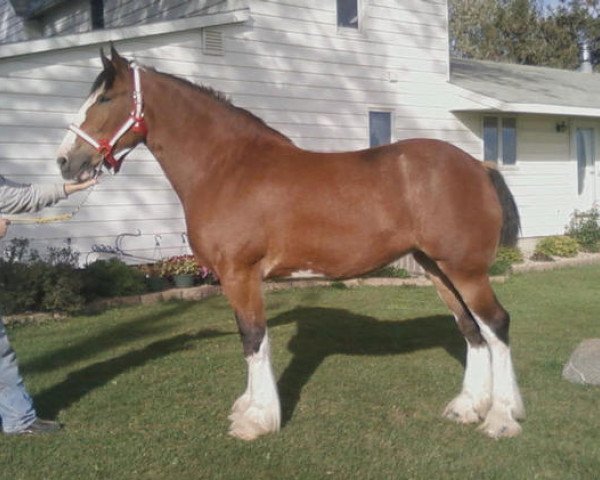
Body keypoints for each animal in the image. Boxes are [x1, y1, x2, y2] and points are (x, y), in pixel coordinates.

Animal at [56, 47, 524, 440]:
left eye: (104, 98)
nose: (65, 160)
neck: (228, 166)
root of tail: (478, 166)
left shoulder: (240, 275)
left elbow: (253, 338)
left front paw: (257, 419)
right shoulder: (236, 279)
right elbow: (248, 338)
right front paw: (249, 407)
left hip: (465, 270)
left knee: (496, 325)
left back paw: (502, 418)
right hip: (437, 268)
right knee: (470, 329)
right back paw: (467, 408)